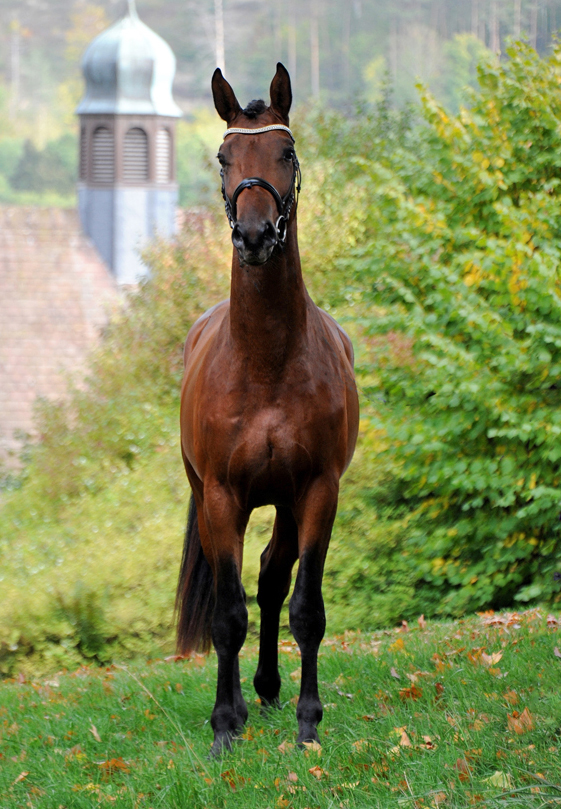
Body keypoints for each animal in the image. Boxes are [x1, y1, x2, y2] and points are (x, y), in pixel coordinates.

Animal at [176, 64, 358, 756]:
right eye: (224, 158)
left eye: (286, 153)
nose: (254, 237)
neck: (265, 363)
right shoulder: (222, 497)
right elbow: (228, 615)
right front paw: (225, 725)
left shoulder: (317, 491)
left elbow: (305, 607)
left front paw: (308, 722)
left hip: (283, 503)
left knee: (274, 578)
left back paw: (270, 688)